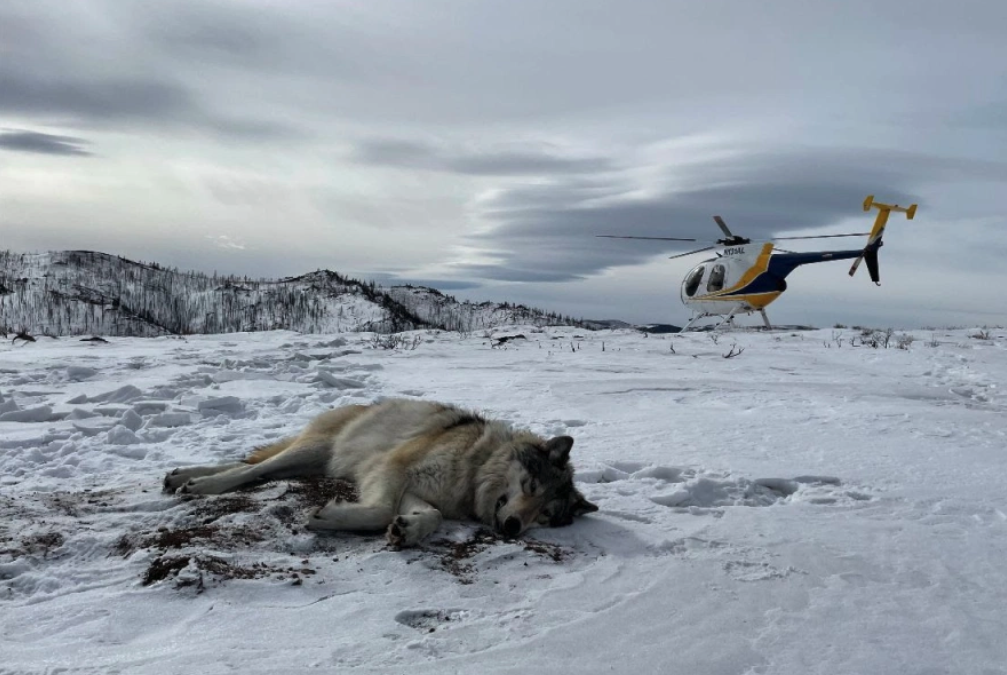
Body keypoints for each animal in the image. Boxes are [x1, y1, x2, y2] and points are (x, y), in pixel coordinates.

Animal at [163, 398, 597, 547]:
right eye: (531, 485)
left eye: (545, 515)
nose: (512, 527)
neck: (474, 466)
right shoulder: (391, 468)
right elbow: (381, 509)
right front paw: (330, 518)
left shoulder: (417, 490)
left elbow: (429, 516)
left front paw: (408, 530)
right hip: (315, 449)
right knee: (254, 467)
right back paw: (201, 483)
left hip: (311, 461)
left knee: (252, 467)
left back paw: (181, 476)